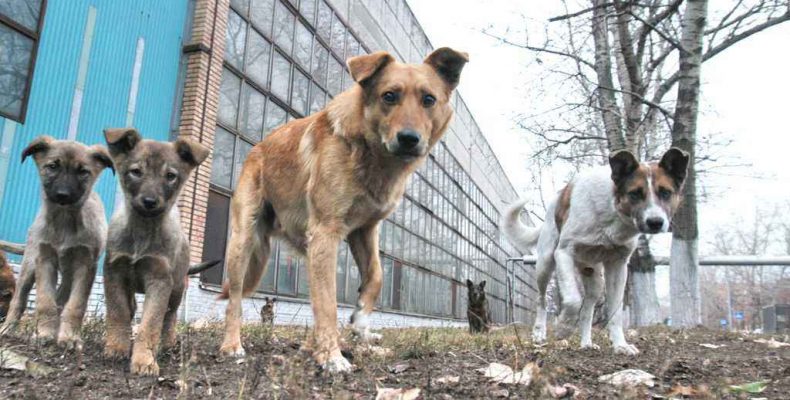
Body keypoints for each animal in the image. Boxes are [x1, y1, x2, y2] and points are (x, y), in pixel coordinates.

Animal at [103, 128, 212, 376]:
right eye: (136, 172)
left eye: (170, 176)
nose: (150, 201)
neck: (142, 230)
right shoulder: (114, 272)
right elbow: (118, 312)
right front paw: (116, 347)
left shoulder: (160, 279)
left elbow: (151, 323)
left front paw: (144, 360)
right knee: (132, 308)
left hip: (177, 288)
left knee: (169, 317)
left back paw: (168, 344)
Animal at [220, 47, 468, 372]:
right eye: (389, 96)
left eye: (428, 99)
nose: (409, 139)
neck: (370, 153)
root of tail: (256, 148)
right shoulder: (326, 232)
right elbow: (328, 302)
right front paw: (332, 357)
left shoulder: (364, 231)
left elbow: (375, 276)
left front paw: (361, 321)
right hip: (244, 242)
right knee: (235, 298)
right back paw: (232, 345)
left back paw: (313, 345)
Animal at [504, 148, 688, 354]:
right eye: (634, 193)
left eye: (665, 192)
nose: (655, 222)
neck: (612, 212)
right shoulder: (564, 253)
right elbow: (573, 300)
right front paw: (563, 327)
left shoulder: (618, 266)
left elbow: (615, 313)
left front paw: (620, 345)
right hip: (545, 264)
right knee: (541, 299)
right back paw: (539, 332)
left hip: (594, 279)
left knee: (587, 310)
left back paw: (586, 343)